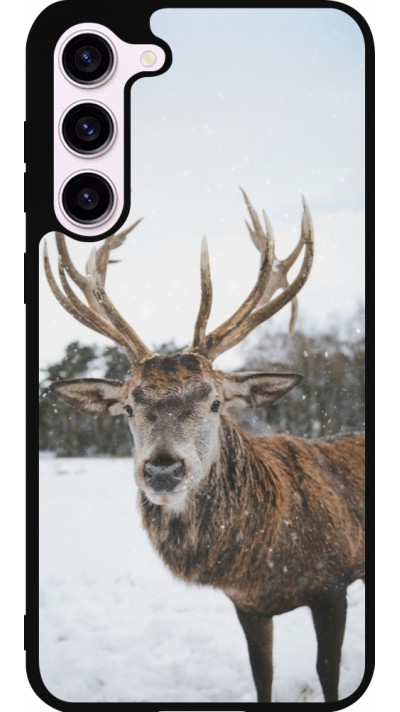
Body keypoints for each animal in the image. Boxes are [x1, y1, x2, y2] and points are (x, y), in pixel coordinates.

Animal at [43, 190, 365, 703]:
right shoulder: (248, 604)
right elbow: (262, 675)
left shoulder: (333, 582)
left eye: (215, 402)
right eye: (129, 406)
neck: (266, 559)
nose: (163, 470)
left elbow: (328, 672)